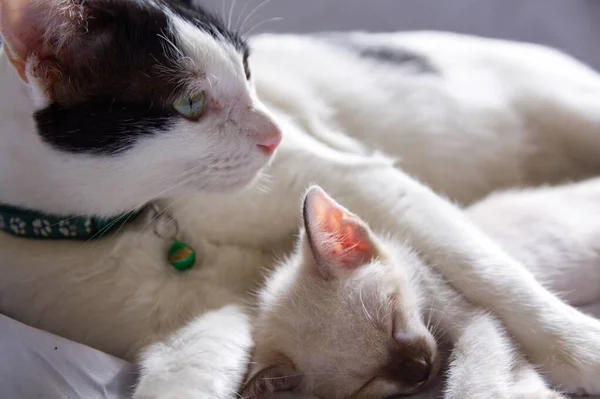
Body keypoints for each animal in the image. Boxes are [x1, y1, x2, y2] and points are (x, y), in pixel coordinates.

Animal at [1, 0, 600, 399]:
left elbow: (496, 279)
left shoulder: (355, 176)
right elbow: (188, 377)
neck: (146, 217)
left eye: (247, 70)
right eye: (190, 103)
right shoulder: (189, 322)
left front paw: (585, 354)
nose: (276, 133)